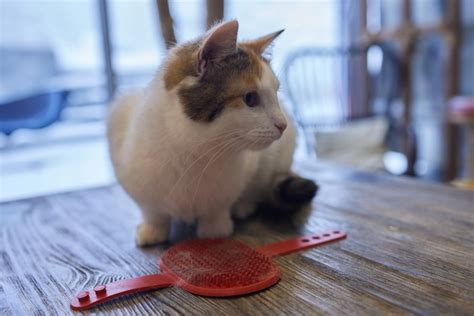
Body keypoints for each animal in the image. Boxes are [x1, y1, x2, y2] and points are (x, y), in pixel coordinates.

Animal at [105, 20, 316, 247]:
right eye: (250, 98)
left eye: (276, 94)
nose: (282, 124)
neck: (196, 150)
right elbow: (153, 212)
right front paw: (153, 229)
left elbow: (220, 204)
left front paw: (215, 228)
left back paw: (244, 206)